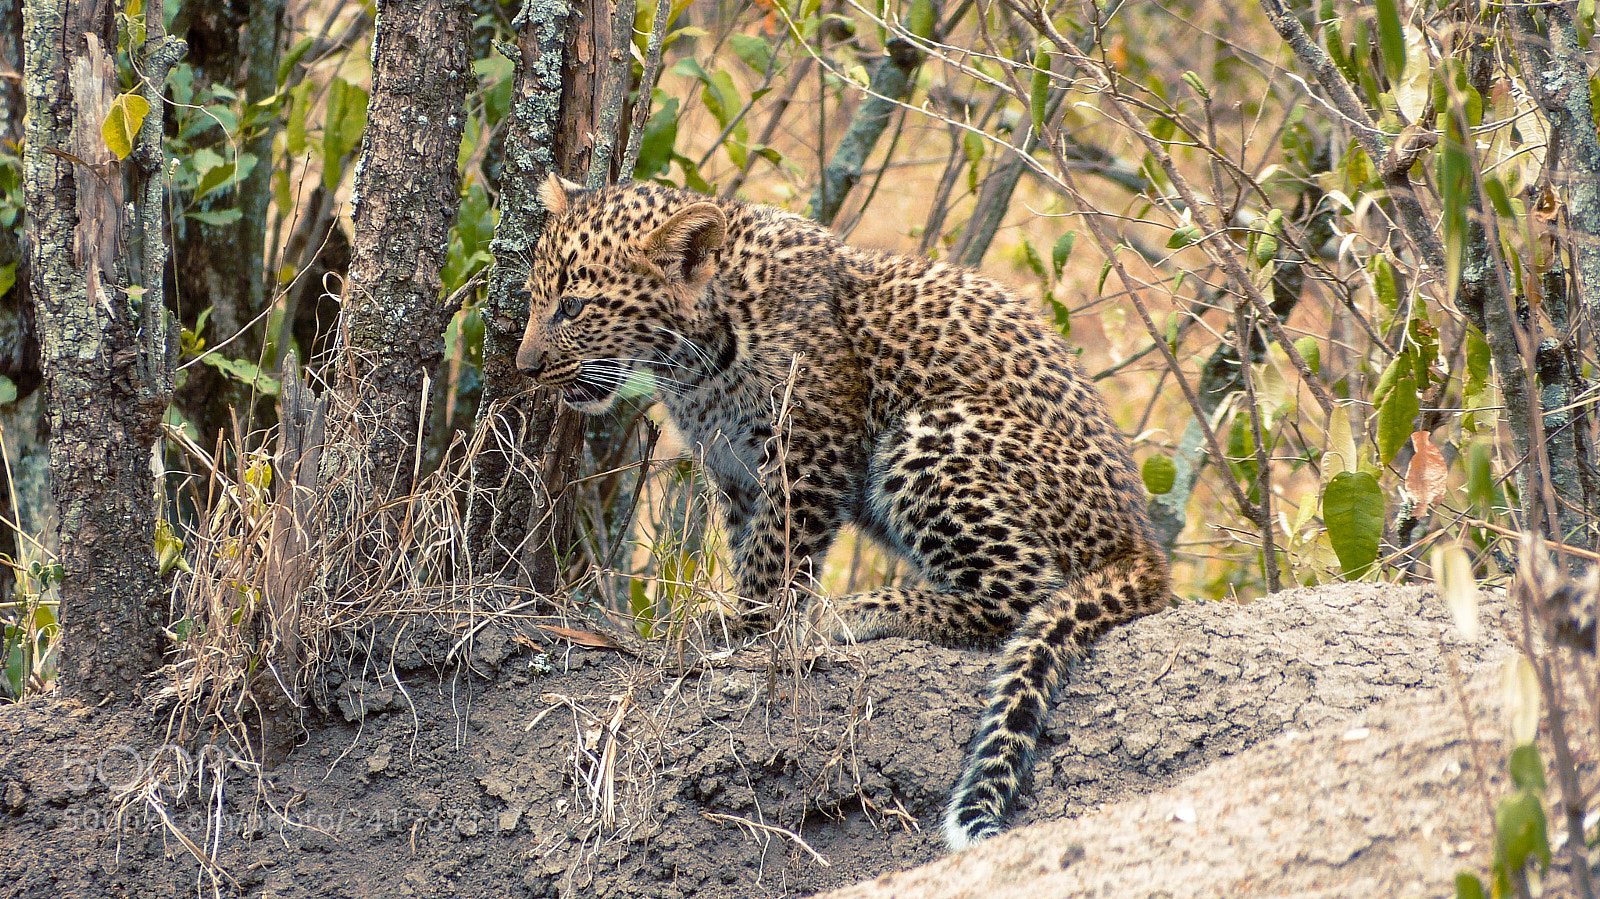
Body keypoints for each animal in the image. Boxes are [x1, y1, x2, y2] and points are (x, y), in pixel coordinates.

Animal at [514, 174, 1171, 850]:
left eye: (574, 307)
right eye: (536, 299)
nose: (523, 367)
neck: (695, 360)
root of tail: (1140, 544)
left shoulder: (810, 450)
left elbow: (773, 556)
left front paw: (746, 632)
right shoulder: (734, 469)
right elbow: (750, 547)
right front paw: (740, 624)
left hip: (928, 435)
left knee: (1021, 594)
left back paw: (854, 614)